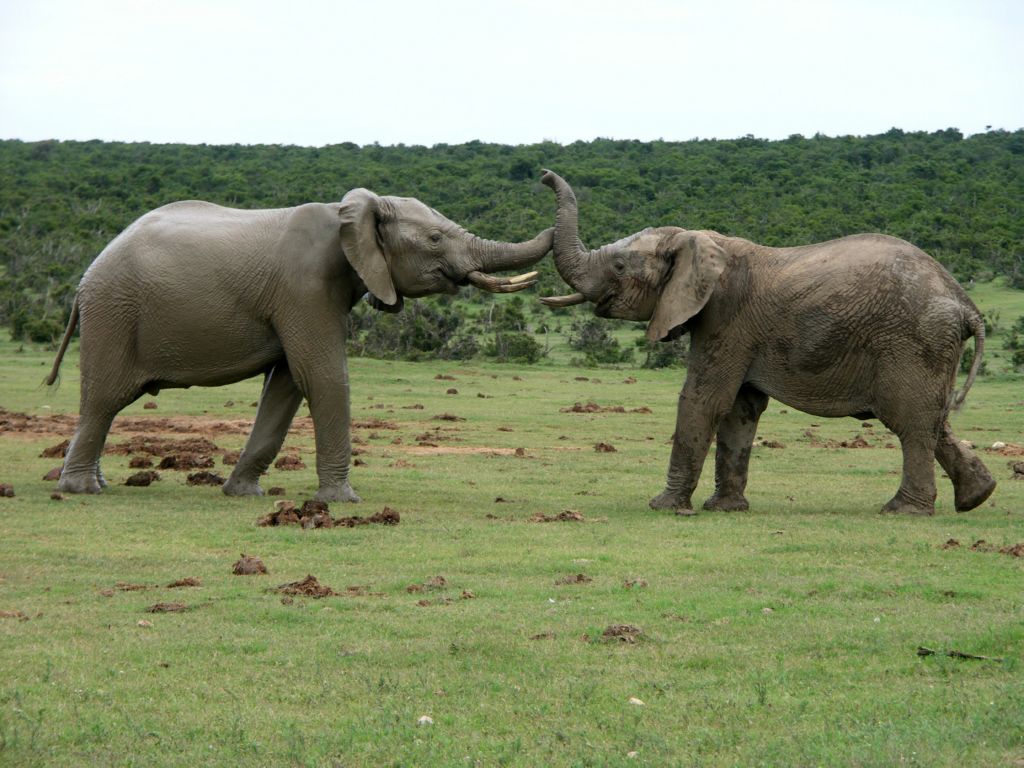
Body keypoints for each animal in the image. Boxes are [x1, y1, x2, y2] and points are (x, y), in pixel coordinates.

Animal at [45, 191, 552, 505]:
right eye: (434, 238)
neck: (350, 213)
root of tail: (85, 281)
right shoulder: (305, 288)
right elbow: (322, 375)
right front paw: (343, 502)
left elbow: (286, 384)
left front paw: (243, 494)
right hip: (115, 313)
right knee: (105, 399)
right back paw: (82, 490)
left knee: (104, 404)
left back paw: (96, 483)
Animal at [540, 167, 995, 518]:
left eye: (619, 266)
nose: (543, 175)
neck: (699, 241)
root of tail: (964, 302)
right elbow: (740, 408)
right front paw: (725, 509)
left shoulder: (726, 317)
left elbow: (703, 399)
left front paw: (664, 507)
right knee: (934, 419)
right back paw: (976, 497)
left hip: (914, 339)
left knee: (910, 421)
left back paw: (903, 511)